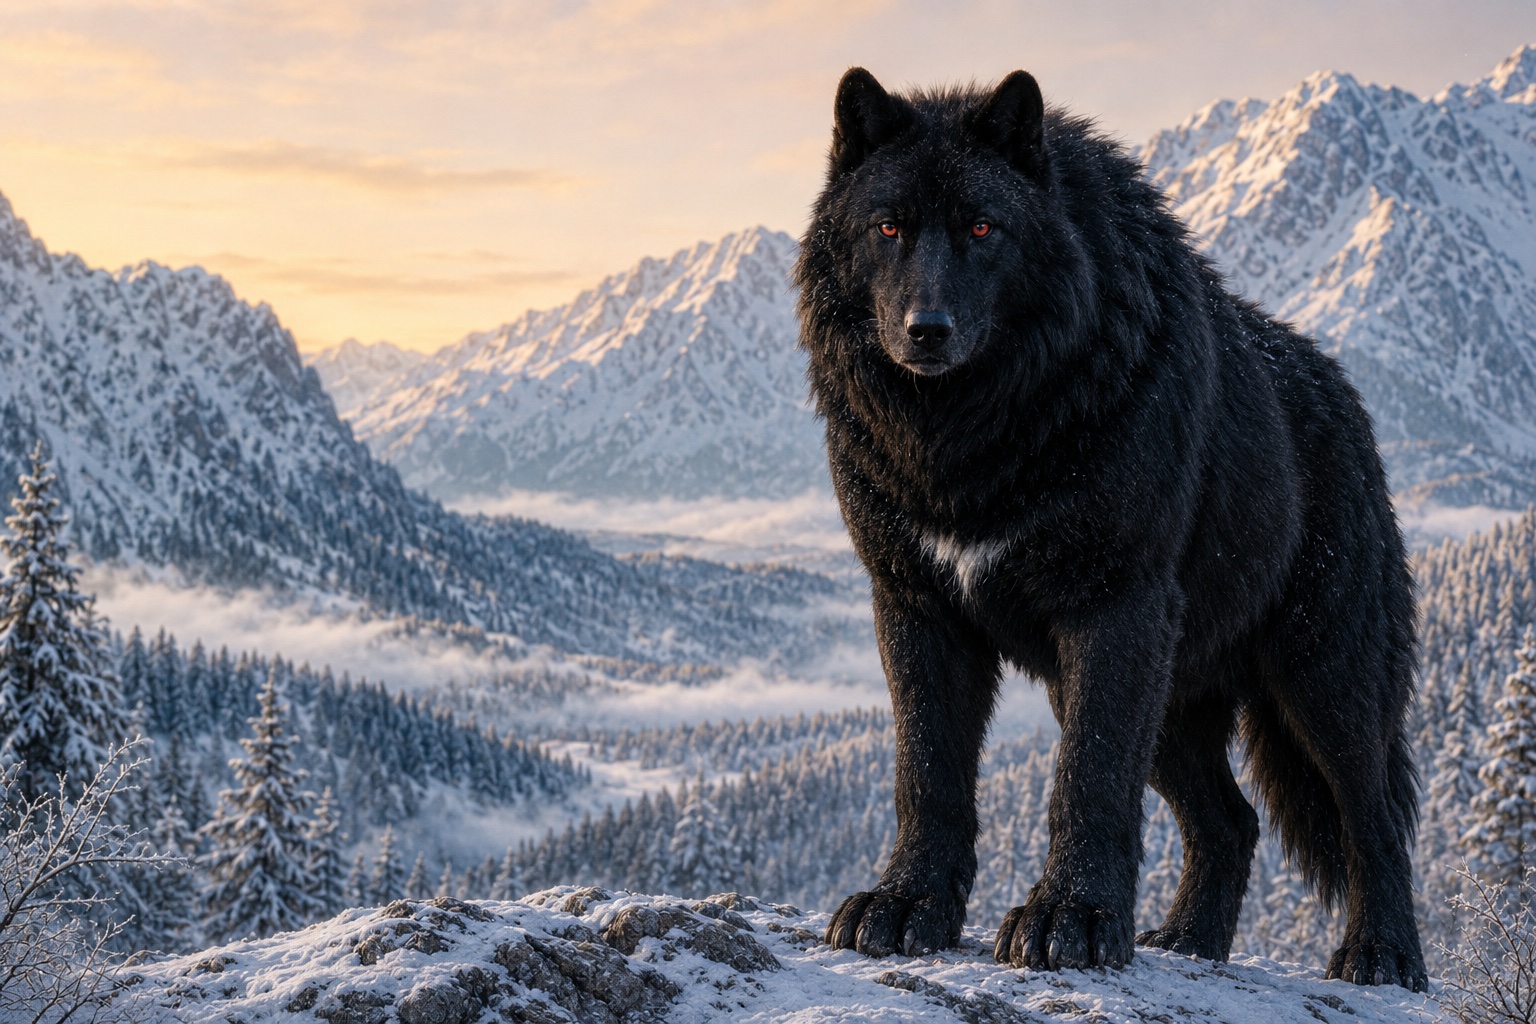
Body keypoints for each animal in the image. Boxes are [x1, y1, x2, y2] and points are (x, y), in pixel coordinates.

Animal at [794, 68, 1425, 990]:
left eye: (982, 227)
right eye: (888, 228)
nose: (927, 331)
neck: (968, 441)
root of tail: (1343, 394)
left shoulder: (1114, 610)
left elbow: (1085, 781)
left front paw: (1072, 921)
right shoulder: (914, 608)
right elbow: (928, 774)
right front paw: (905, 905)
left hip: (1322, 681)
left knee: (1372, 817)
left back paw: (1382, 956)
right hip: (1163, 700)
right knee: (1231, 822)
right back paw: (1190, 944)